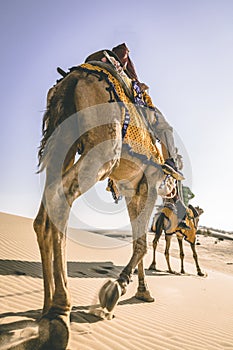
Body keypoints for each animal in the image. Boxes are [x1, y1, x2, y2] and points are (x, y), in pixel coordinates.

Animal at [33, 58, 178, 348]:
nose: (174, 189)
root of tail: (73, 79)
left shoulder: (133, 191)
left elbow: (138, 242)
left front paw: (142, 292)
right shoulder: (149, 184)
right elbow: (142, 244)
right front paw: (115, 290)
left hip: (63, 141)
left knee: (44, 214)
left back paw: (46, 309)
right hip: (103, 150)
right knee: (60, 199)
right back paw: (60, 314)